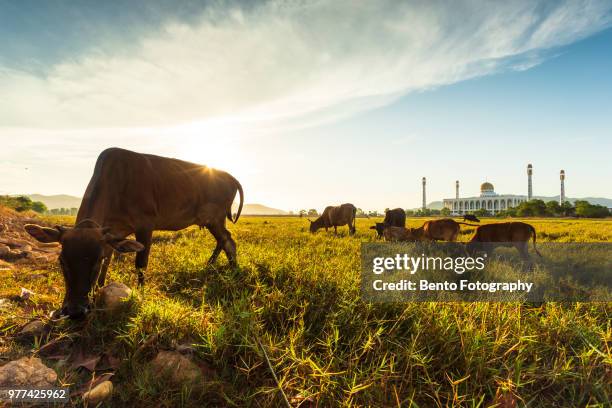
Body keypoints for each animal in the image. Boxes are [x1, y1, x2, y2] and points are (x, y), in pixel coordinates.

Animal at [23, 147, 244, 318]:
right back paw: (213, 266)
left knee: (228, 241)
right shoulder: (112, 233)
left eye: (96, 260)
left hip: (215, 218)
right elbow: (110, 260)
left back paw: (234, 270)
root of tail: (231, 177)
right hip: (213, 220)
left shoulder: (145, 225)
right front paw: (99, 289)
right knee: (223, 241)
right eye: (61, 261)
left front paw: (141, 294)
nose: (76, 311)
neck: (116, 184)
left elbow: (140, 264)